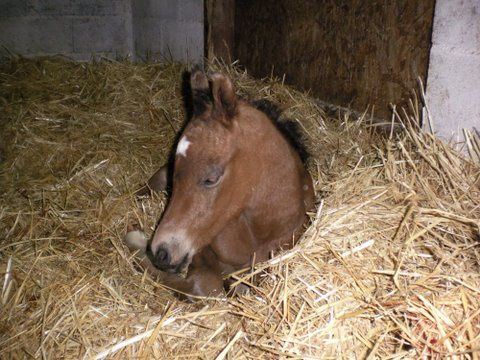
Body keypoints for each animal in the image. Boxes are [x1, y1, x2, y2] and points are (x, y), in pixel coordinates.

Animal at [126, 69, 316, 296]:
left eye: (211, 179)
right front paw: (135, 242)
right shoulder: (201, 248)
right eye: (176, 167)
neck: (259, 234)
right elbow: (208, 286)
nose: (160, 253)